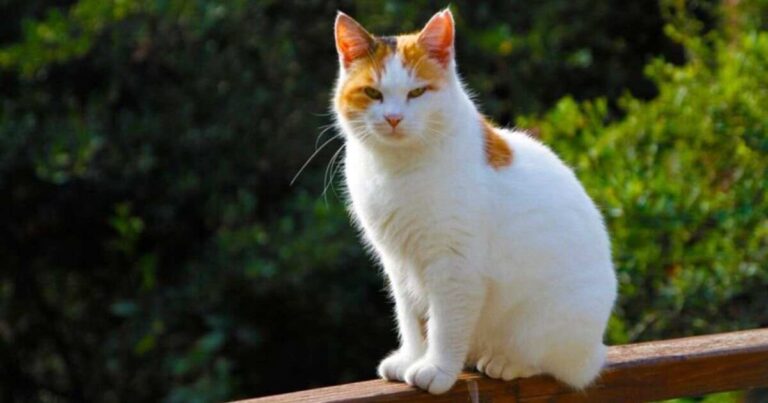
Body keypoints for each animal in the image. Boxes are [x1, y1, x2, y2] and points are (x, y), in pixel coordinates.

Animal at [332, 7, 616, 396]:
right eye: (372, 93)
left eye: (417, 92)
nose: (393, 118)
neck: (397, 169)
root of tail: (596, 350)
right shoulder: (398, 262)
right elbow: (410, 317)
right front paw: (412, 358)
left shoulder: (454, 265)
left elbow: (444, 324)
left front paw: (436, 368)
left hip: (550, 321)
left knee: (554, 363)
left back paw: (506, 362)